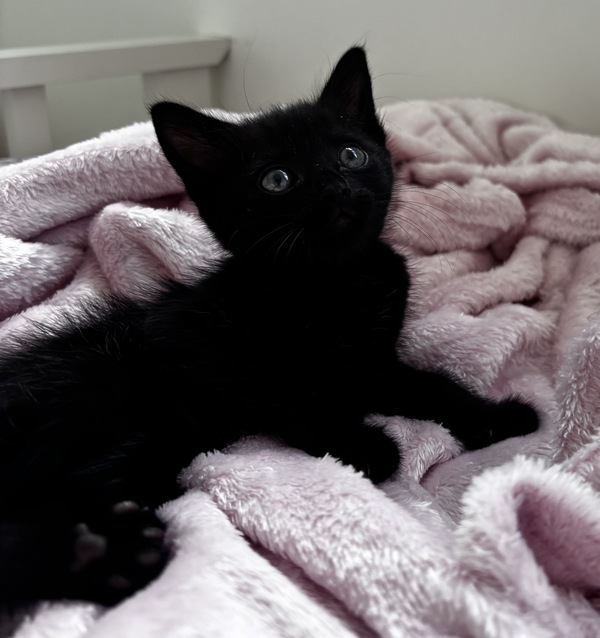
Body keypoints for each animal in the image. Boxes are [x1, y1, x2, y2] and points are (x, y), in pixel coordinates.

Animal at [0, 47, 538, 608]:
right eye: (276, 180)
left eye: (351, 155)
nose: (334, 186)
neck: (334, 283)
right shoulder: (192, 345)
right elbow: (285, 393)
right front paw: (363, 444)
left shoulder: (370, 364)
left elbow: (431, 384)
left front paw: (494, 417)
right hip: (111, 407)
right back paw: (108, 558)